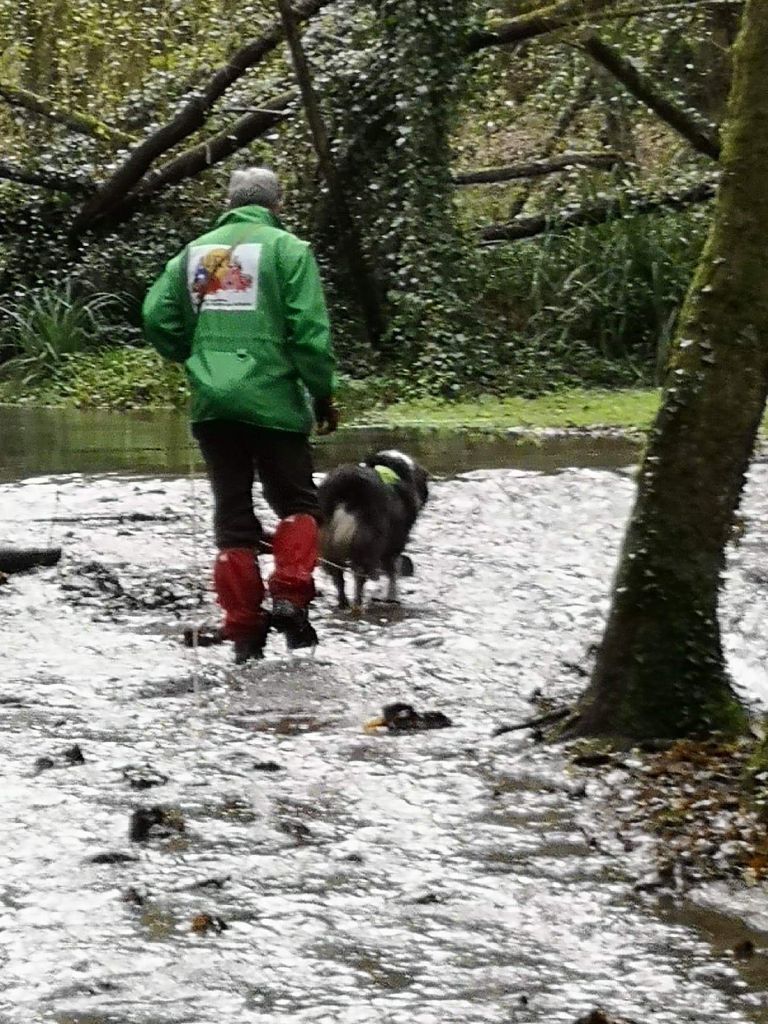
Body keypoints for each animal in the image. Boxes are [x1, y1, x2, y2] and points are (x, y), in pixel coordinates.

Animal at [315, 450, 430, 606]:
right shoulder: (395, 543)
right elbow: (392, 572)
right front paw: (392, 596)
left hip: (329, 545)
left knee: (339, 577)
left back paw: (343, 603)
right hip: (367, 542)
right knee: (359, 577)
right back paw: (357, 602)